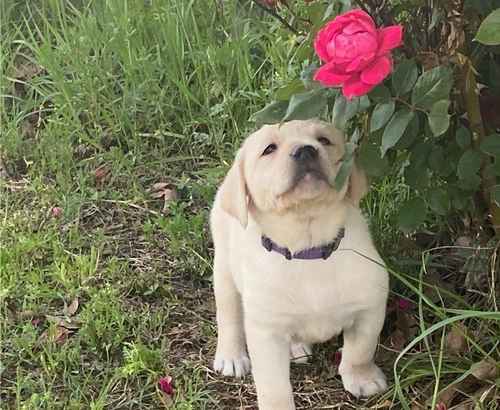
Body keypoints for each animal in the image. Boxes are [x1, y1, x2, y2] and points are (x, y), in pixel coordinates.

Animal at [209, 118, 388, 410]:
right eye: (269, 149)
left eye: (324, 140)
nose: (306, 150)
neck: (308, 249)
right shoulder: (266, 332)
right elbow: (274, 387)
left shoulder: (370, 305)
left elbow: (361, 348)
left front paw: (363, 378)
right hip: (224, 270)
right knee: (228, 316)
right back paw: (231, 356)